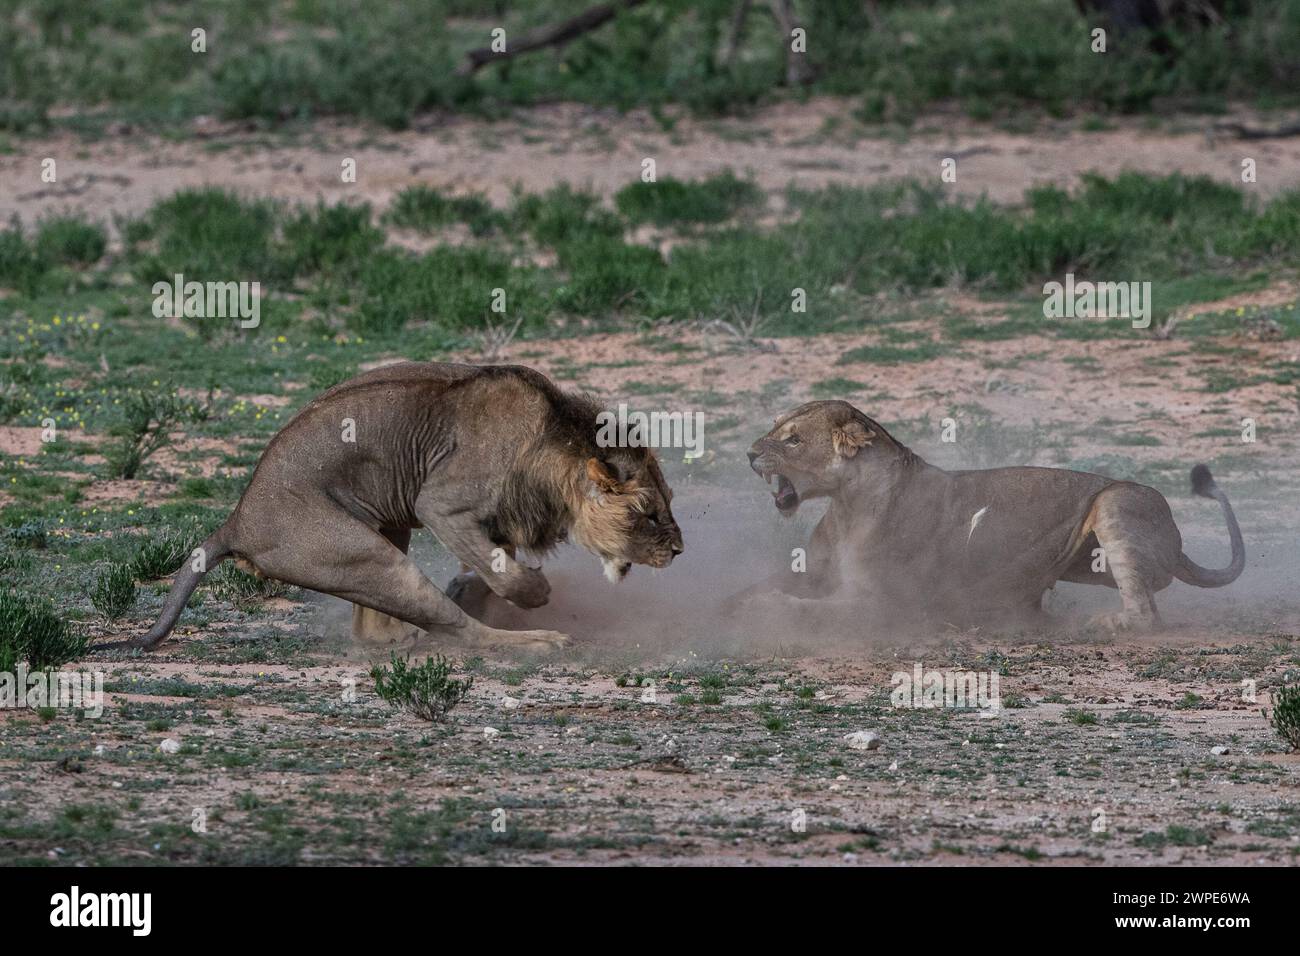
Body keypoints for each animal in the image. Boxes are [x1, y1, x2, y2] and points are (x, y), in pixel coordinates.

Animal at [133, 361, 686, 655]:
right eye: (648, 512)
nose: (680, 551)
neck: (552, 446)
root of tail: (237, 521)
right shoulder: (441, 503)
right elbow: (509, 577)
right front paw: (535, 590)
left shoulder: (491, 524)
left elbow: (490, 565)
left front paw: (468, 586)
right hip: (364, 555)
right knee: (457, 629)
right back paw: (537, 640)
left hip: (388, 526)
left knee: (375, 629)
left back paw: (410, 634)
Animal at [738, 398, 1242, 629]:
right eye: (775, 427)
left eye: (793, 440)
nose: (748, 454)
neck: (845, 504)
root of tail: (1178, 541)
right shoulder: (814, 573)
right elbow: (764, 585)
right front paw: (736, 600)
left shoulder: (884, 605)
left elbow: (804, 609)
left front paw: (761, 609)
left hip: (1116, 501)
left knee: (1146, 615)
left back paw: (1099, 624)